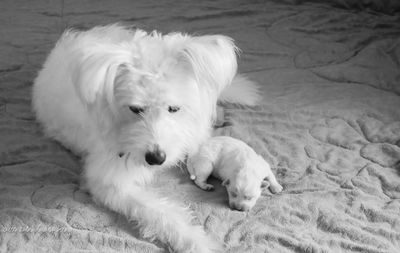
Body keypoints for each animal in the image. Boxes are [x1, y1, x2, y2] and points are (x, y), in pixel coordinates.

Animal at [31, 24, 260, 253]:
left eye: (173, 108)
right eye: (135, 108)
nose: (155, 159)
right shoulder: (109, 180)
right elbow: (159, 212)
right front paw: (196, 241)